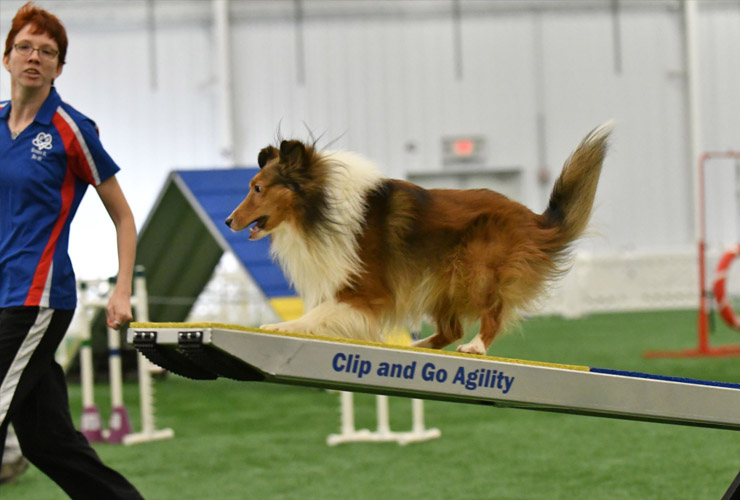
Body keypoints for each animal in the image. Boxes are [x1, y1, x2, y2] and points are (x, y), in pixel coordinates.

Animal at [227, 122, 612, 354]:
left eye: (258, 188)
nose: (229, 221)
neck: (319, 208)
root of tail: (535, 219)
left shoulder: (366, 291)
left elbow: (316, 315)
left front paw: (278, 326)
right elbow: (319, 313)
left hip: (475, 269)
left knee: (492, 313)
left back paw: (476, 346)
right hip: (441, 281)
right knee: (451, 330)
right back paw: (415, 347)